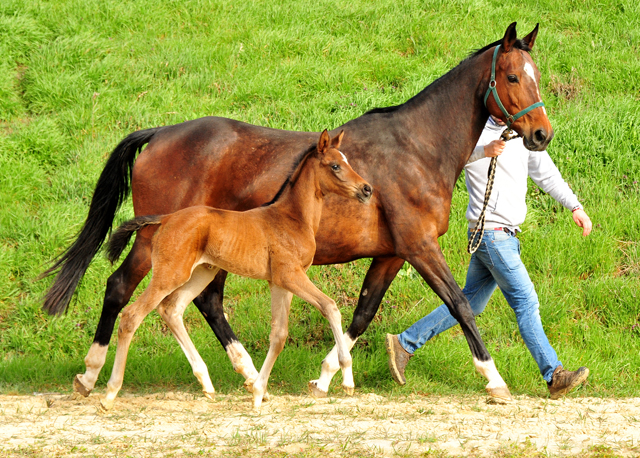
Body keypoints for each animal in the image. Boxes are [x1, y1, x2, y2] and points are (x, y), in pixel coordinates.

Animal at [100, 131, 370, 410]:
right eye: (335, 165)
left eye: (347, 161)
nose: (366, 189)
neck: (292, 218)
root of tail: (166, 218)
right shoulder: (291, 275)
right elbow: (330, 307)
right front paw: (346, 379)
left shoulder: (279, 282)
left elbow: (279, 335)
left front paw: (259, 391)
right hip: (170, 274)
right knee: (131, 315)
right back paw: (109, 393)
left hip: (202, 273)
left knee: (171, 309)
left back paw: (206, 384)